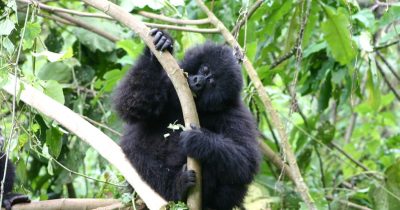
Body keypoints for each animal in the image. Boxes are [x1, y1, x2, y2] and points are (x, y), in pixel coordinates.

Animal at [114, 28, 260, 209]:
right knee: (137, 153)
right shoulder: (169, 83)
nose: (198, 81)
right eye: (205, 69)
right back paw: (176, 188)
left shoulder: (235, 113)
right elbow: (132, 102)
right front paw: (159, 45)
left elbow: (247, 160)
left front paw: (200, 141)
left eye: (212, 82)